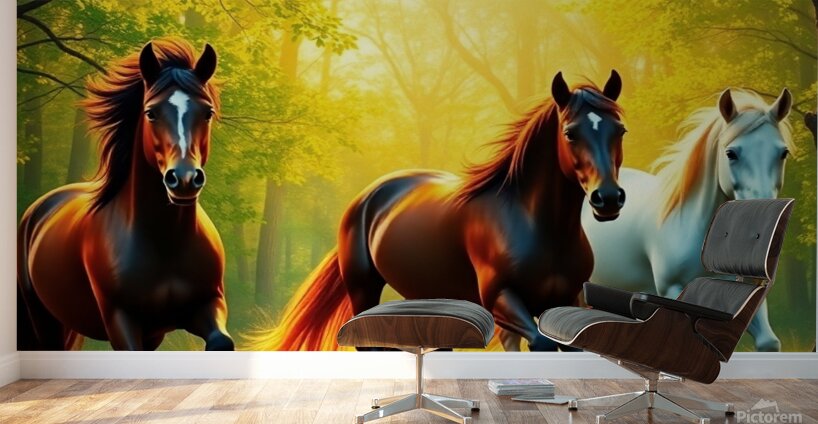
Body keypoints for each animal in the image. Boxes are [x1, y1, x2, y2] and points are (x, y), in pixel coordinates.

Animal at [17, 38, 234, 351]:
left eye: (208, 112)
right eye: (151, 113)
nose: (183, 179)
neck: (165, 242)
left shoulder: (208, 304)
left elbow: (220, 342)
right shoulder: (121, 321)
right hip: (43, 321)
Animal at [247, 70, 628, 352]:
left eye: (620, 129)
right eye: (570, 133)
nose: (608, 198)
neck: (538, 226)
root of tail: (367, 197)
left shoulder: (569, 300)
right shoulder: (501, 298)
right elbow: (541, 344)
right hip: (363, 290)